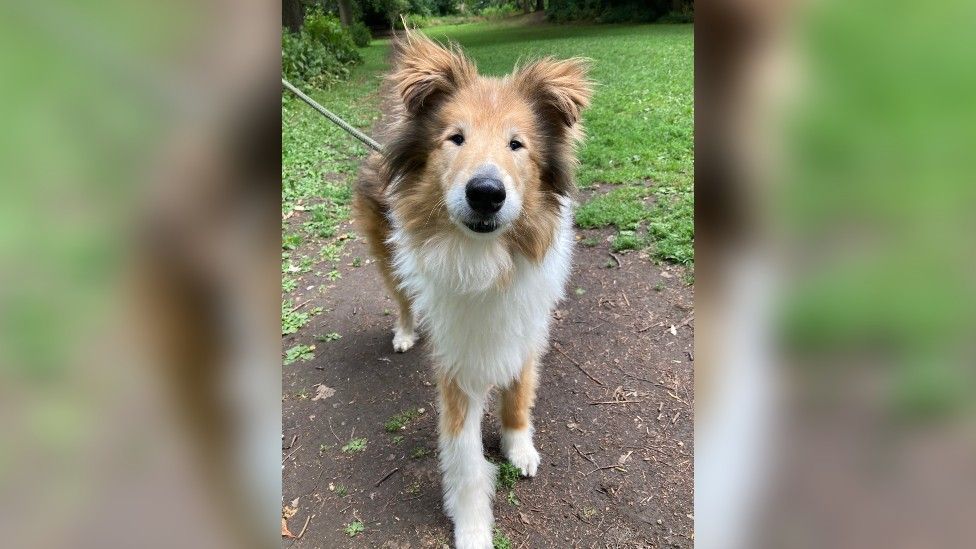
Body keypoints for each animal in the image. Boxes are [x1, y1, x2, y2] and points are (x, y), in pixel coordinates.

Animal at [354, 31, 592, 548]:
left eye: (516, 144)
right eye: (455, 138)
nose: (486, 193)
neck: (483, 260)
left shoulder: (523, 327)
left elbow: (519, 394)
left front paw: (519, 447)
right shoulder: (458, 362)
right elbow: (463, 457)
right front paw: (473, 525)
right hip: (388, 260)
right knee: (403, 299)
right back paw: (405, 333)